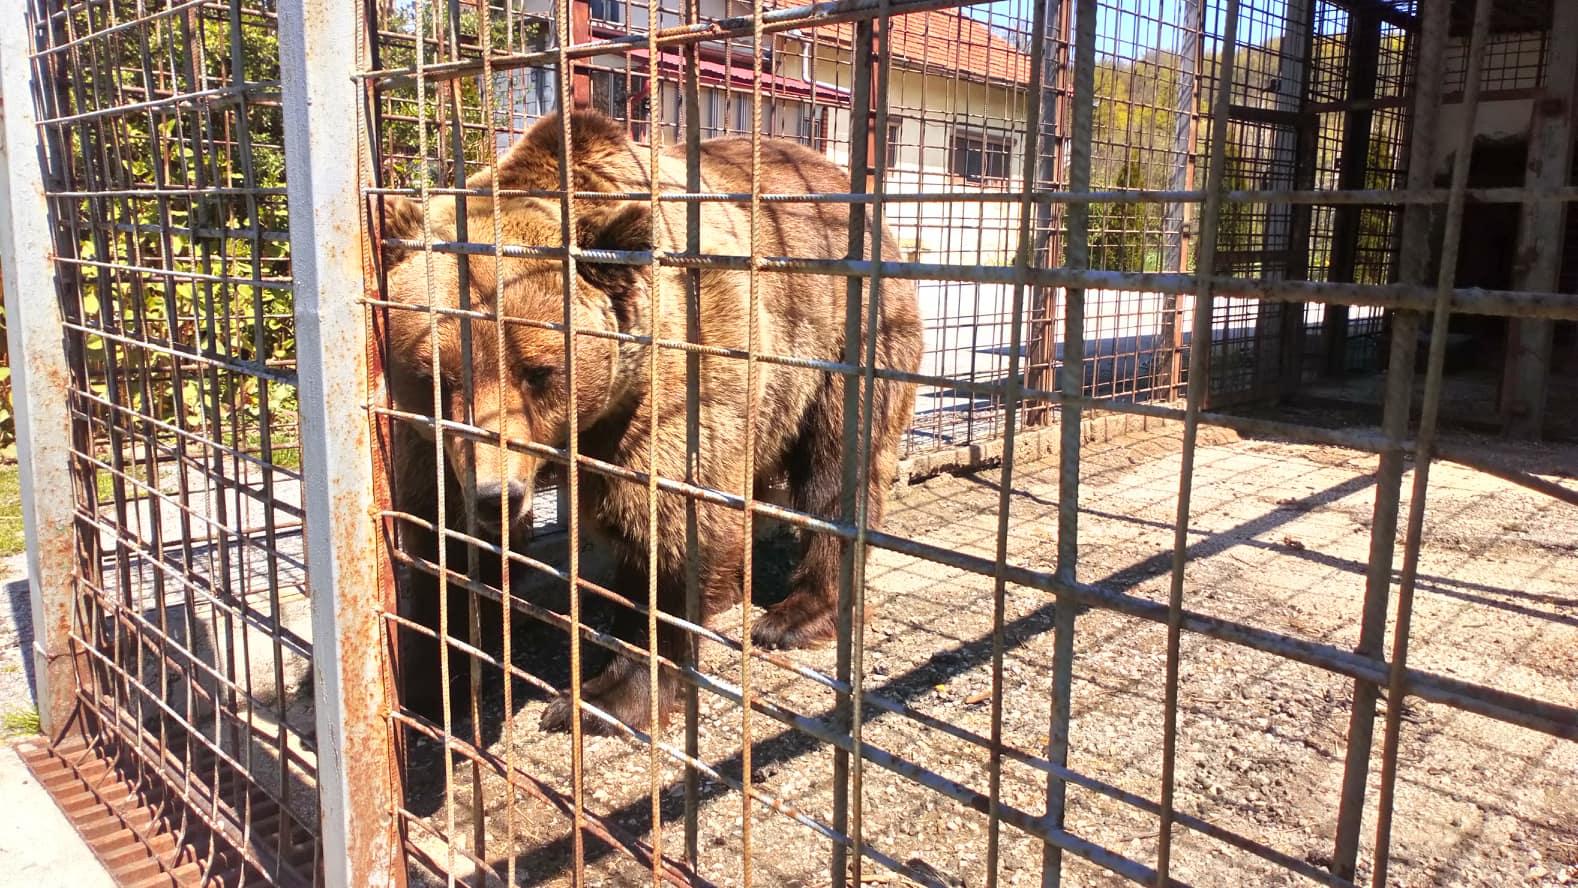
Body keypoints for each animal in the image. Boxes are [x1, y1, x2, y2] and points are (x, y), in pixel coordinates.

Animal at [380, 112, 921, 738]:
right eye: (437, 376)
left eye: (538, 371)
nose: (499, 494)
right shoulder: (432, 445)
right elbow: (436, 537)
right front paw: (430, 678)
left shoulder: (672, 386)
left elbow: (673, 529)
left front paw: (603, 698)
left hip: (848, 334)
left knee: (839, 470)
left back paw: (796, 614)